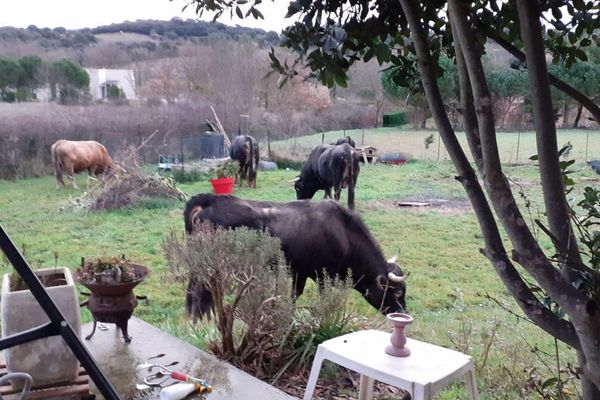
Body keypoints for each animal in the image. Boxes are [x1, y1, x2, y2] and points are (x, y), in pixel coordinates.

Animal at [184, 193, 408, 318]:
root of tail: (211, 201)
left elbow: (294, 295)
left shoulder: (299, 272)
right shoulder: (322, 277)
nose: (403, 314)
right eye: (397, 292)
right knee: (200, 289)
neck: (343, 235)